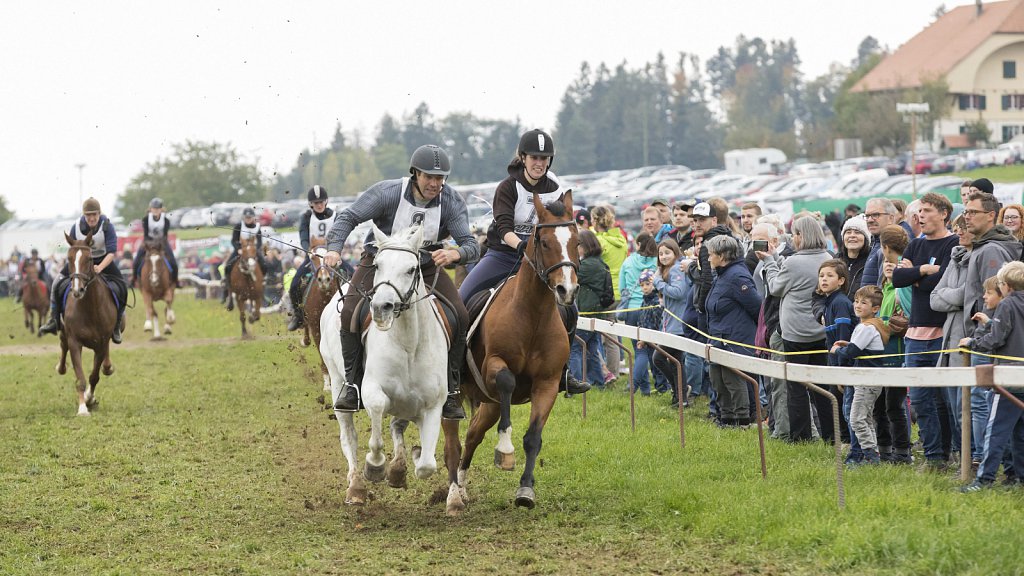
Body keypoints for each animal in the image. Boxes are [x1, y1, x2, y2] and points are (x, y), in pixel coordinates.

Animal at [58, 230, 118, 414]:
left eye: (89, 259)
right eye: (69, 258)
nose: (78, 290)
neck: (89, 309)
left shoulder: (101, 343)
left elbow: (94, 376)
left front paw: (89, 399)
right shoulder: (74, 342)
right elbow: (81, 378)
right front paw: (83, 409)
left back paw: (108, 367)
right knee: (62, 344)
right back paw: (60, 367)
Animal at [317, 224, 450, 506]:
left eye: (411, 269)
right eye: (377, 265)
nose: (381, 308)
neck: (409, 345)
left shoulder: (433, 405)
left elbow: (426, 465)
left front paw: (411, 459)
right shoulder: (372, 390)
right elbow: (377, 420)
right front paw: (376, 467)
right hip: (336, 381)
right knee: (349, 437)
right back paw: (356, 486)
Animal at [442, 190, 581, 512]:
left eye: (577, 241)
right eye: (545, 242)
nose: (566, 291)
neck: (533, 316)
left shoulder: (547, 384)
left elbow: (533, 438)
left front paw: (526, 491)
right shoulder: (494, 365)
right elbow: (507, 380)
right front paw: (505, 451)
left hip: (489, 404)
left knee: (473, 435)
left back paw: (463, 488)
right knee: (454, 441)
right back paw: (453, 493)